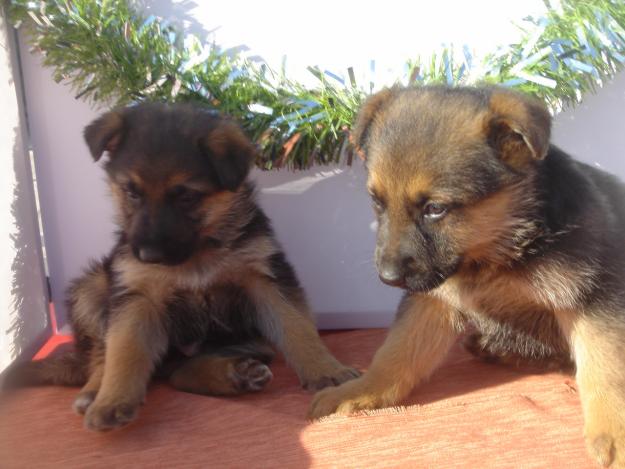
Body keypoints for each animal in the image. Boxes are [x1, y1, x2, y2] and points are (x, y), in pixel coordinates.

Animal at [4, 103, 358, 432]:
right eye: (131, 191)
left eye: (186, 196)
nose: (148, 255)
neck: (196, 255)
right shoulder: (135, 296)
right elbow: (124, 350)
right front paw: (112, 399)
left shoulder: (266, 279)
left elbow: (298, 327)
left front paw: (328, 370)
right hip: (92, 288)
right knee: (103, 355)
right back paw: (94, 392)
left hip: (246, 339)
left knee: (179, 373)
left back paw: (234, 374)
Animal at [310, 86, 624, 466]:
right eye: (377, 202)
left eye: (435, 209)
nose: (387, 278)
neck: (495, 251)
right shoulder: (431, 299)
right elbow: (396, 351)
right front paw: (363, 387)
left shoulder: (593, 298)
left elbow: (605, 367)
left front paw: (614, 430)